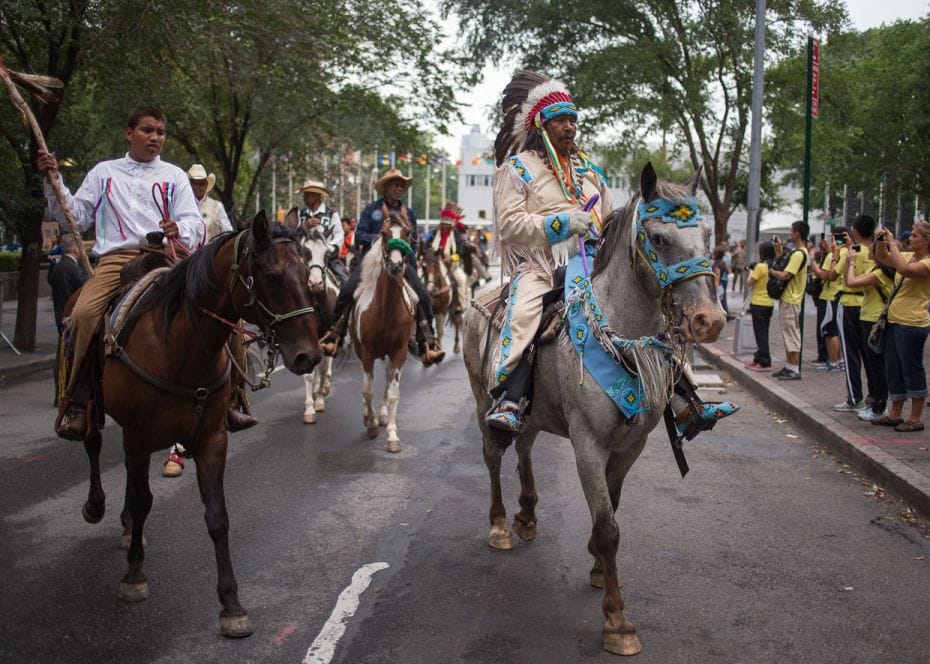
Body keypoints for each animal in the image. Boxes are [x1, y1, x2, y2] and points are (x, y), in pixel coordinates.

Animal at [74, 213, 320, 640]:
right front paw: (134, 576)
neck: (180, 346)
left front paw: (231, 604)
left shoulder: (212, 439)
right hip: (93, 401)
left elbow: (217, 516)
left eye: (307, 273)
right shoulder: (138, 435)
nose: (310, 356)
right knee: (93, 442)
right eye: (272, 276)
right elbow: (143, 501)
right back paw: (97, 505)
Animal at [350, 213, 416, 452]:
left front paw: (392, 436)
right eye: (384, 233)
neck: (386, 308)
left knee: (388, 379)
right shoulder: (367, 351)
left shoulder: (399, 351)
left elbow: (394, 392)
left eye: (407, 232)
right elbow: (367, 390)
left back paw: (384, 415)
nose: (396, 265)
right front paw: (370, 425)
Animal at [464, 165, 724, 652]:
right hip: (481, 399)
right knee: (493, 455)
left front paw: (598, 569)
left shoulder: (630, 445)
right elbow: (608, 527)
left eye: (707, 236)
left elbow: (613, 509)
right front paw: (617, 621)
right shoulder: (588, 446)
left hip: (535, 410)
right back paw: (501, 526)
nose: (709, 321)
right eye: (658, 238)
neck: (622, 337)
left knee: (525, 447)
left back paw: (527, 515)